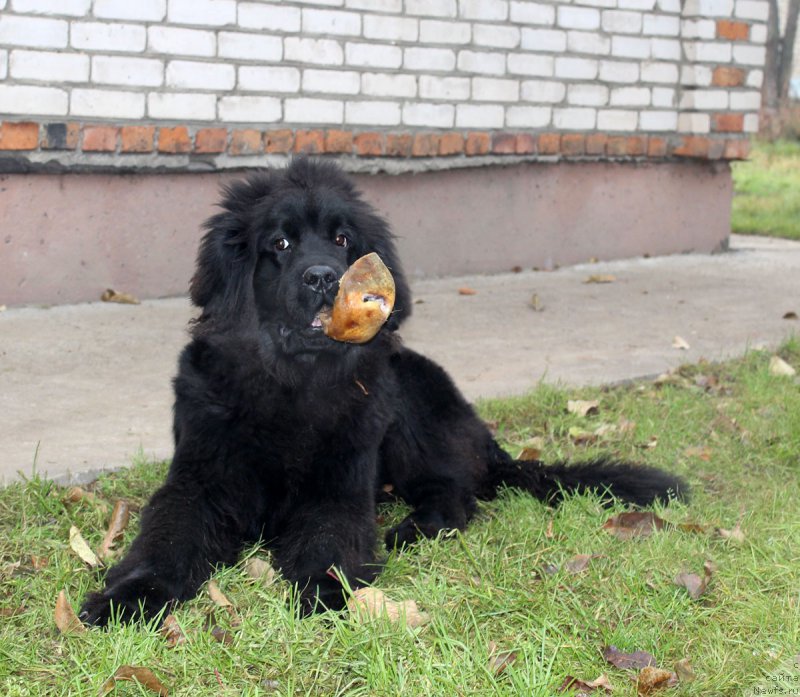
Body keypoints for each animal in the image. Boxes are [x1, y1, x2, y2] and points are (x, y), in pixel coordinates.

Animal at [79, 160, 680, 624]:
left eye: (342, 240)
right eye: (280, 243)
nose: (324, 277)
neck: (294, 387)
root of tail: (485, 438)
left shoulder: (339, 485)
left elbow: (330, 539)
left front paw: (325, 592)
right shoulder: (199, 481)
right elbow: (167, 539)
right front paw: (127, 598)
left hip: (407, 405)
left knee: (455, 494)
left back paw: (412, 530)